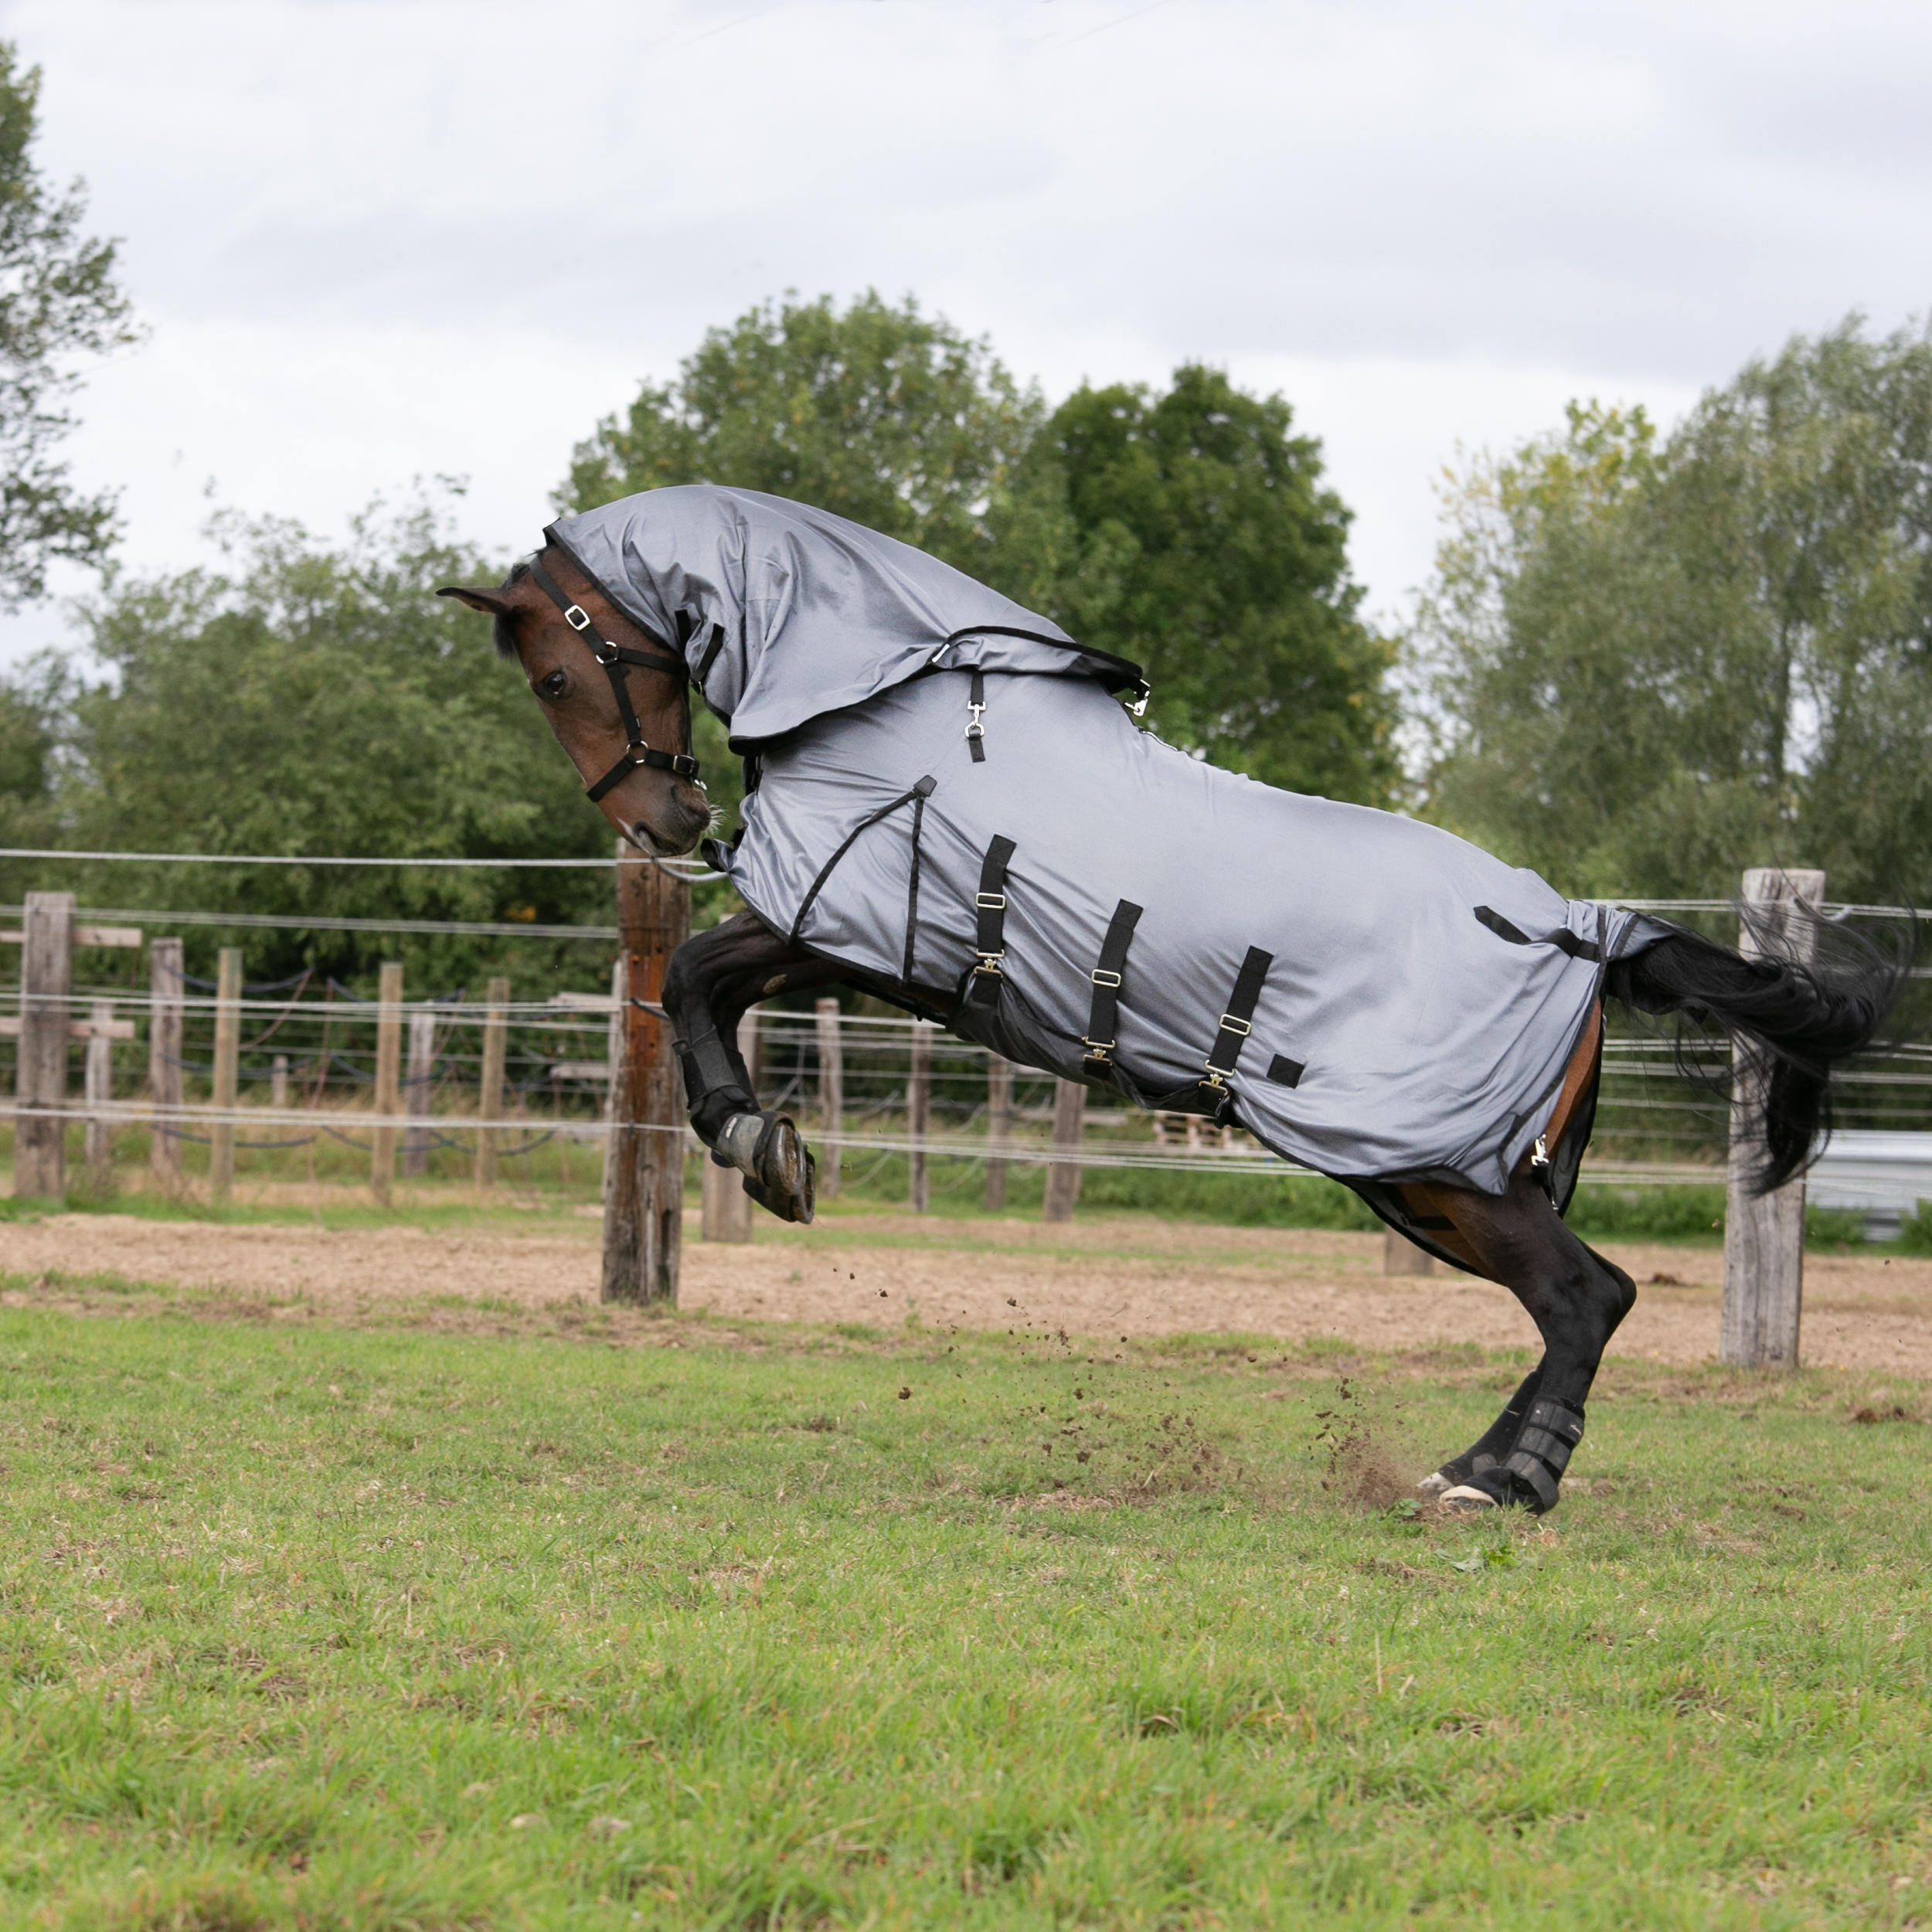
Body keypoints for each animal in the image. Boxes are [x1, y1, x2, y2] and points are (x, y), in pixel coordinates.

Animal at [441, 492, 1902, 1516]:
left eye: (558, 673)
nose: (662, 822)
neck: (895, 693)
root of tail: (1585, 928)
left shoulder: (853, 926)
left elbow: (691, 977)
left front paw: (763, 1146)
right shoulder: (864, 948)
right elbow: (706, 985)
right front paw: (770, 1146)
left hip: (1438, 1171)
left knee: (1585, 1299)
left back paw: (1494, 1483)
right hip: (1431, 1182)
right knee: (1577, 1303)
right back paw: (1485, 1469)